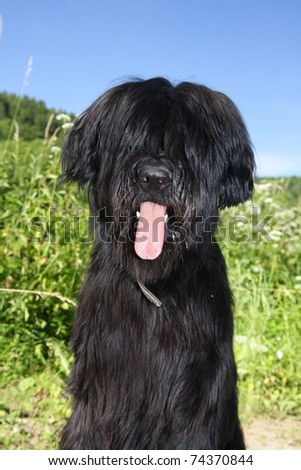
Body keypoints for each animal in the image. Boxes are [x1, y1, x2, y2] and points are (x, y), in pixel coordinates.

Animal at [59, 78, 254, 452]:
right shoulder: (100, 383)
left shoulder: (196, 384)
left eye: (188, 145)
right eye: (132, 137)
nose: (154, 178)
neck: (155, 284)